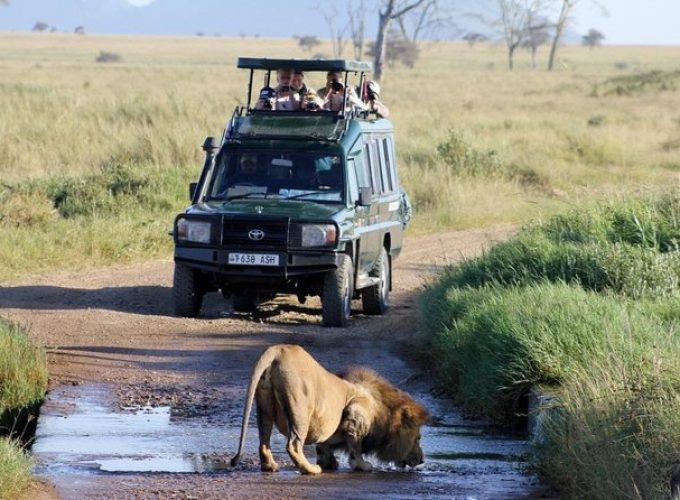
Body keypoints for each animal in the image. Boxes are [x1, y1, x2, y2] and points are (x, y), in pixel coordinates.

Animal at [231, 344, 428, 476]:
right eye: (418, 438)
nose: (422, 460)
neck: (382, 410)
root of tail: (278, 350)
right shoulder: (357, 413)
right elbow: (355, 447)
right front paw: (362, 465)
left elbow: (324, 446)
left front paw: (329, 462)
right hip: (300, 410)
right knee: (293, 445)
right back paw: (311, 469)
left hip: (265, 408)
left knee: (264, 442)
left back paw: (270, 466)